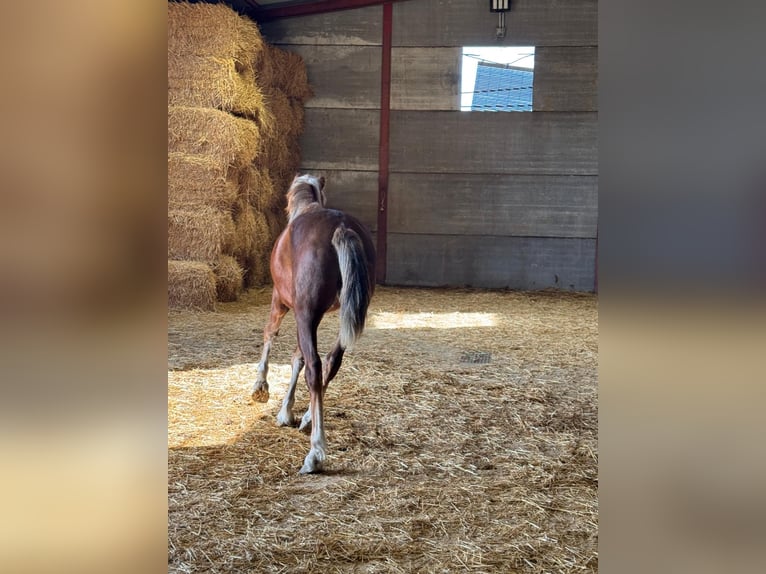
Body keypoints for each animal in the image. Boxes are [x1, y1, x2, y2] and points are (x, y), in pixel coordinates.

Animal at [251, 174, 376, 474]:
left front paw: (261, 388)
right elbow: (297, 358)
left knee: (315, 368)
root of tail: (341, 227)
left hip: (305, 314)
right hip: (345, 320)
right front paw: (288, 411)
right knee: (330, 361)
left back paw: (315, 453)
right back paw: (309, 419)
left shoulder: (283, 303)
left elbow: (271, 335)